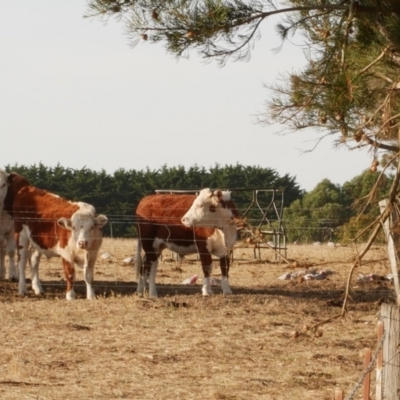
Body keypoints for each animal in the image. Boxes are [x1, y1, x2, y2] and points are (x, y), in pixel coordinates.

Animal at [3, 172, 109, 300]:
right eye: (73, 227)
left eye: (92, 227)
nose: (82, 242)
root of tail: (28, 188)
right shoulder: (66, 253)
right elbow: (70, 274)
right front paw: (70, 296)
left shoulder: (92, 255)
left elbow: (89, 276)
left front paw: (91, 296)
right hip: (21, 236)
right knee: (21, 261)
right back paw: (22, 289)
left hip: (39, 242)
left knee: (33, 261)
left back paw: (38, 289)